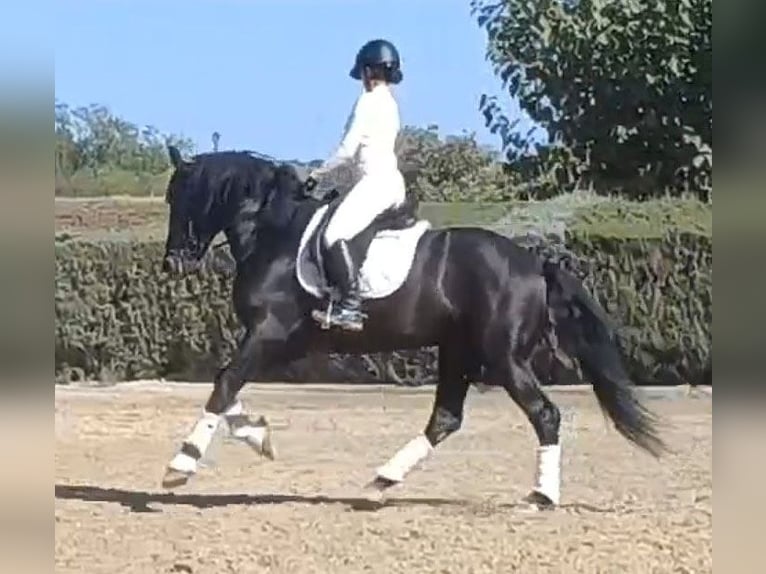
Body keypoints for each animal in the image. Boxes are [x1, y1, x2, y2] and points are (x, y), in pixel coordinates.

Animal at [159, 146, 665, 508]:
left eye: (182, 197)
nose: (173, 263)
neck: (275, 233)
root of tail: (533, 263)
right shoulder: (283, 342)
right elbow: (228, 386)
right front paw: (259, 436)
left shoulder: (269, 333)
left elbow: (225, 383)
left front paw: (181, 465)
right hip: (458, 350)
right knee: (446, 418)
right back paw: (382, 479)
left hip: (503, 358)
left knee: (544, 414)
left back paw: (542, 495)